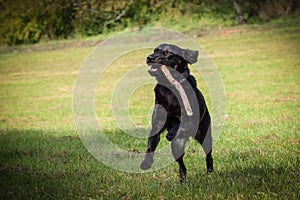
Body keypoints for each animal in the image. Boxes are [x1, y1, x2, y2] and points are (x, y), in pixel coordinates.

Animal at [141, 43, 213, 183]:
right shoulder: (157, 124)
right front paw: (146, 162)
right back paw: (183, 180)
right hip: (177, 147)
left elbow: (179, 124)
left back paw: (210, 171)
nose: (149, 57)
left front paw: (171, 133)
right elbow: (150, 144)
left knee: (209, 154)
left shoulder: (191, 121)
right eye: (155, 50)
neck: (170, 88)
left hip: (205, 136)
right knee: (181, 164)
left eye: (168, 52)